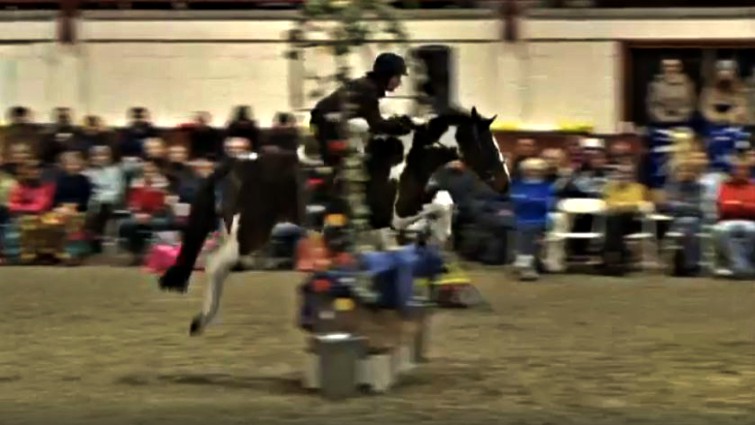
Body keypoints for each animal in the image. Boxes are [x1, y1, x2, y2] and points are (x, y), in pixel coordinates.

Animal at [159, 107, 509, 336]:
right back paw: (201, 320)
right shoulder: (396, 211)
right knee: (216, 264)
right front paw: (440, 236)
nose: (505, 184)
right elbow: (443, 201)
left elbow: (411, 232)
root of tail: (236, 162)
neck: (409, 156)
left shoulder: (385, 224)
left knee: (217, 262)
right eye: (487, 145)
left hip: (235, 230)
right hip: (250, 232)